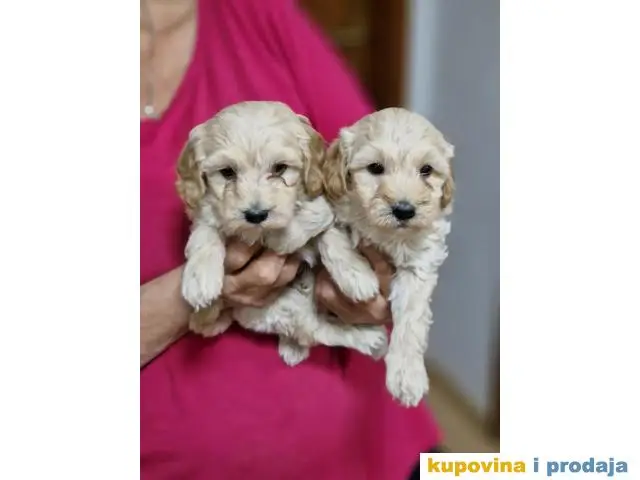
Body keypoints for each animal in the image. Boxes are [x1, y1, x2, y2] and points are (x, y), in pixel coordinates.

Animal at [176, 101, 388, 366]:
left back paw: (370, 339)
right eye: (227, 172)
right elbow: (204, 234)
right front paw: (199, 280)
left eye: (280, 169)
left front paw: (357, 276)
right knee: (315, 331)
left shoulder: (328, 204)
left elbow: (328, 231)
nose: (256, 215)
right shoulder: (205, 211)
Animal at [317, 107, 455, 406]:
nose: (404, 210)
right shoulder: (326, 209)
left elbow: (412, 320)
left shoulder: (419, 263)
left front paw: (407, 375)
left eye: (426, 170)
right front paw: (357, 278)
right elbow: (330, 237)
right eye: (375, 168)